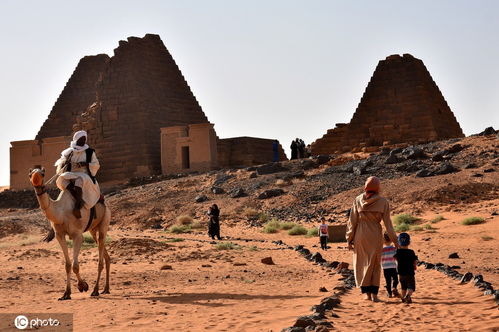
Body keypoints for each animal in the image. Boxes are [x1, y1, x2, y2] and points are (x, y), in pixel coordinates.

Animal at [28, 167, 113, 300]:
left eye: (42, 174)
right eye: (30, 174)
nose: (36, 182)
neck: (61, 212)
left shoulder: (77, 235)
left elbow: (75, 266)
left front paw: (83, 286)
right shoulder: (59, 235)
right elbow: (67, 265)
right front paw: (66, 293)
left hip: (105, 220)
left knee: (101, 257)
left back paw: (95, 290)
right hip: (93, 229)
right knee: (105, 254)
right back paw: (106, 289)